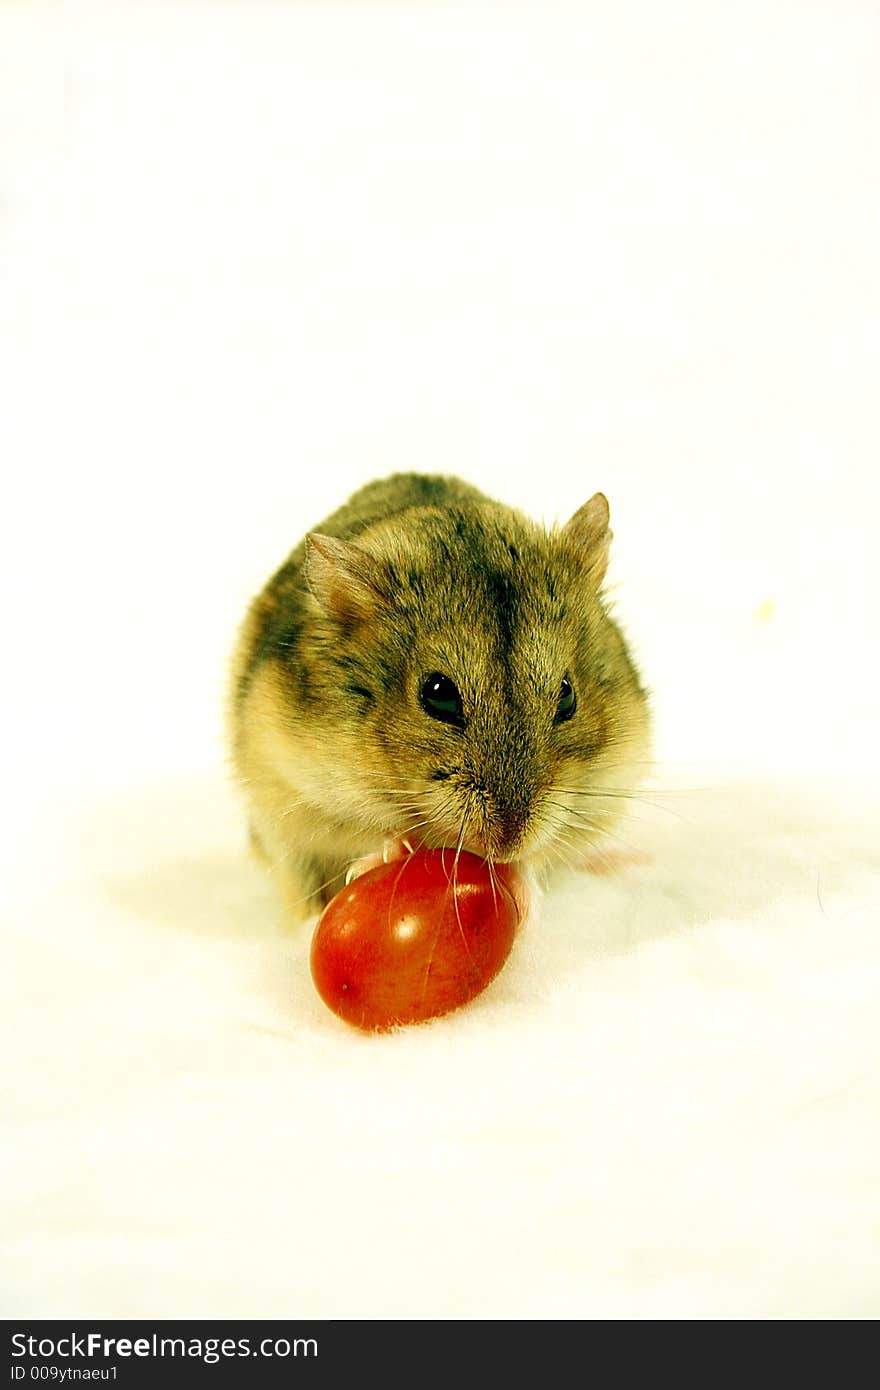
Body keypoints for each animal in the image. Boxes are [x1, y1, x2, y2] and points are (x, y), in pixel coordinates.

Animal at [227, 472, 653, 917]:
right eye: (438, 695)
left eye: (568, 695)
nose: (506, 846)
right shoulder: (297, 789)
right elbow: (369, 832)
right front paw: (390, 851)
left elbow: (542, 856)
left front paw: (520, 884)